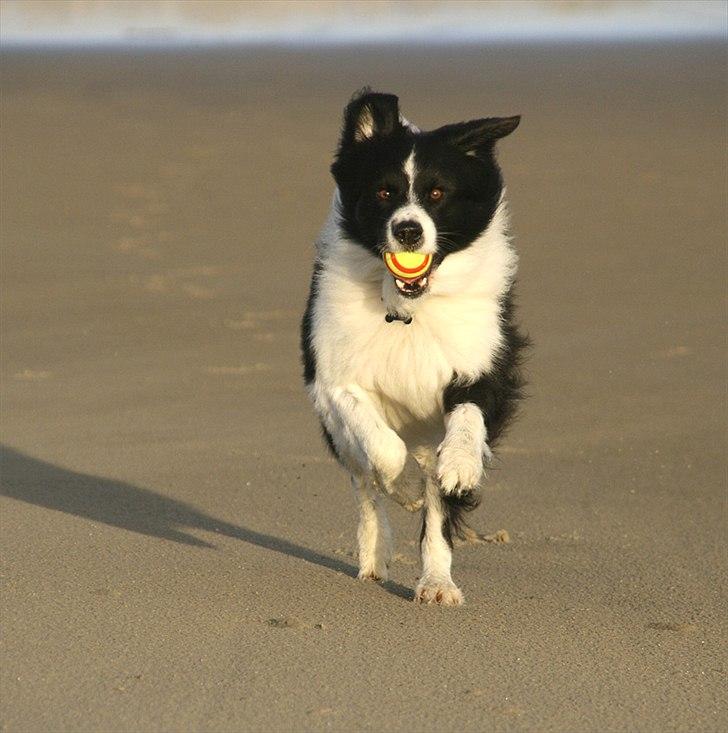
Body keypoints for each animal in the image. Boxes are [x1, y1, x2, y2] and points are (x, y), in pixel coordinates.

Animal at [298, 90, 528, 608]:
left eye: (437, 194)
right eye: (384, 192)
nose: (408, 231)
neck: (407, 310)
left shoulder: (482, 364)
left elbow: (467, 422)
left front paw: (459, 466)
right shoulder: (334, 380)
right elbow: (382, 447)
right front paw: (404, 486)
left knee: (436, 516)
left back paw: (438, 584)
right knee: (365, 485)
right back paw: (374, 558)